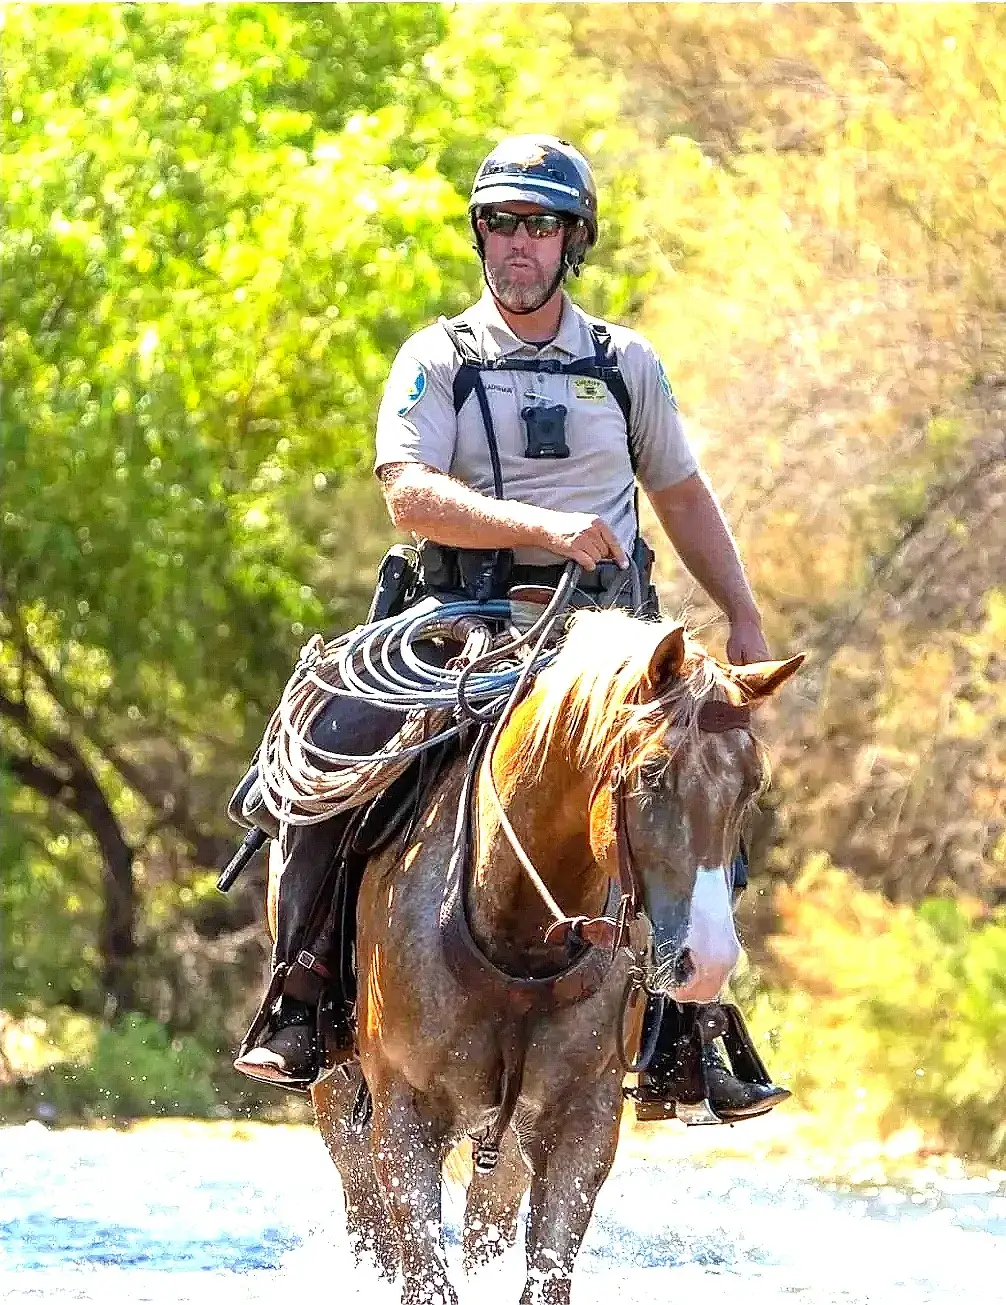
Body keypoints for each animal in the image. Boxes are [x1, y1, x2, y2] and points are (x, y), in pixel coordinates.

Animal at [272, 608, 801, 1304]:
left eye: (751, 784)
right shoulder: (403, 1121)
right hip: (338, 1095)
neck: (518, 936)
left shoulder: (579, 1125)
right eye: (651, 772)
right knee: (368, 1220)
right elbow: (421, 1269)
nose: (708, 961)